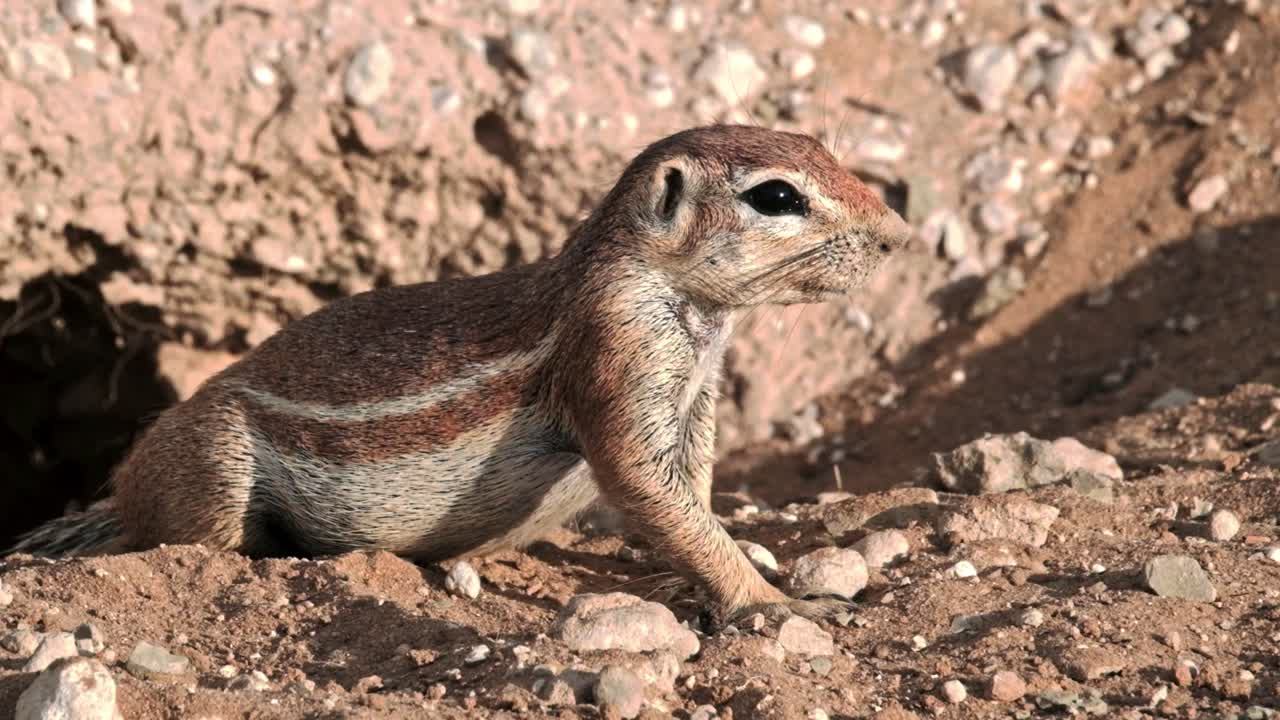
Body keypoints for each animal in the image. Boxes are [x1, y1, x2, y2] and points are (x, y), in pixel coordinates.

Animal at [8, 124, 911, 622]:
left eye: (823, 147)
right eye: (777, 197)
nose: (899, 235)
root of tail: (123, 490)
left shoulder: (693, 403)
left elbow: (691, 494)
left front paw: (753, 554)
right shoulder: (620, 348)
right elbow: (645, 486)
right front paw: (770, 603)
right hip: (211, 464)